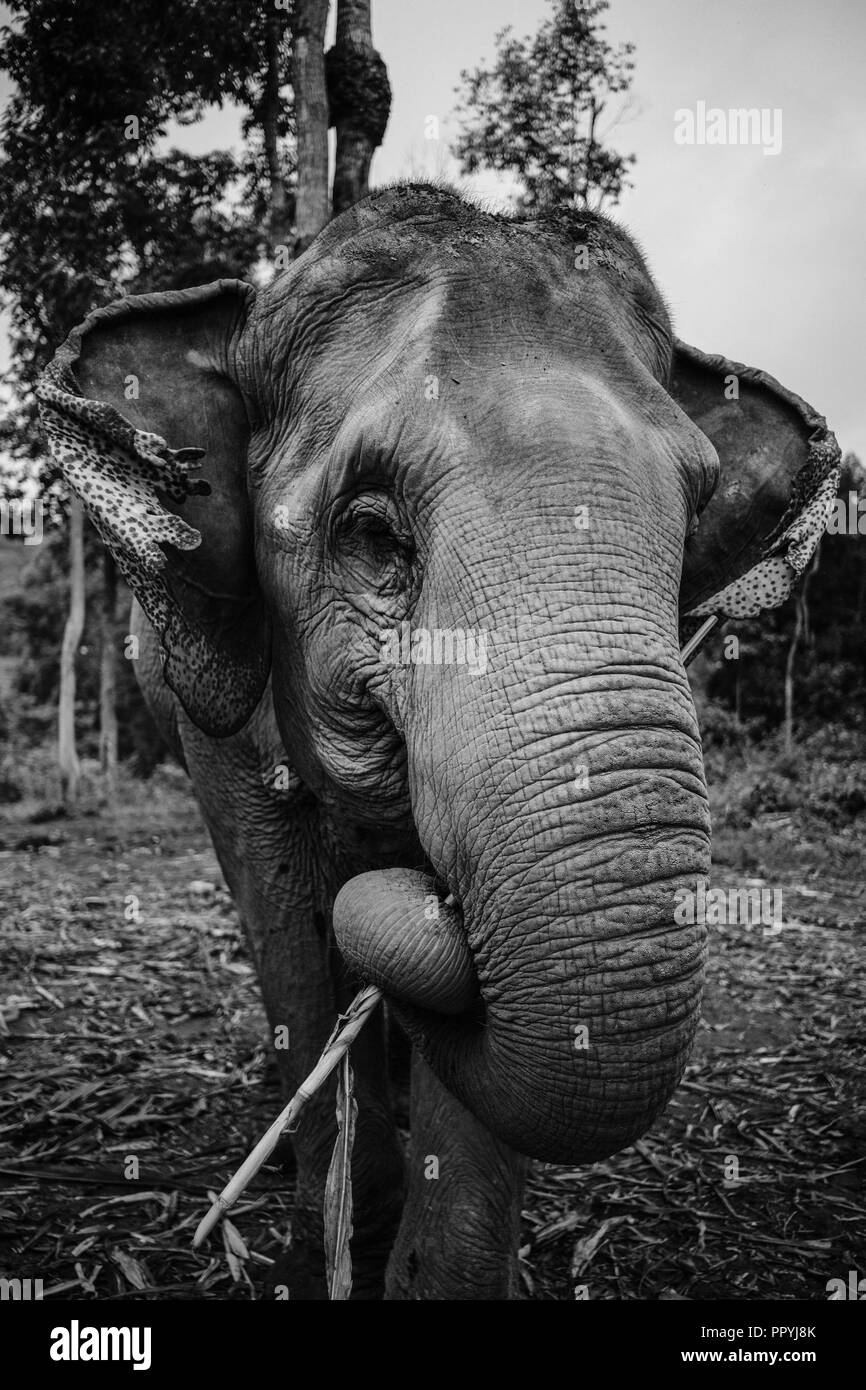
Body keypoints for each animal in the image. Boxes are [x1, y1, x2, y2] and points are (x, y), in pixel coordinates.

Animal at [38, 179, 839, 1295]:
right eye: (372, 533)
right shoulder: (219, 717)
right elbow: (285, 909)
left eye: (690, 529)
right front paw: (327, 1245)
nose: (426, 916)